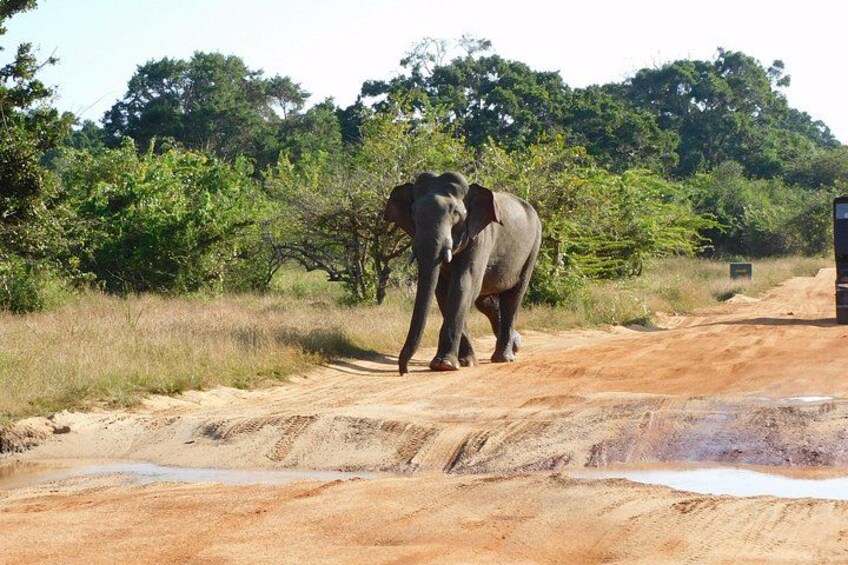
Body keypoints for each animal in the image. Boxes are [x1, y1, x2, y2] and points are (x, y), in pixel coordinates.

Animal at [384, 171, 541, 375]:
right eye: (413, 213)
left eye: (455, 213)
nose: (405, 371)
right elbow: (443, 293)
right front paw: (466, 362)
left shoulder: (481, 239)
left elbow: (462, 286)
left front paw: (443, 365)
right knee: (485, 302)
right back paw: (516, 344)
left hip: (533, 247)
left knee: (512, 299)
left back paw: (504, 357)